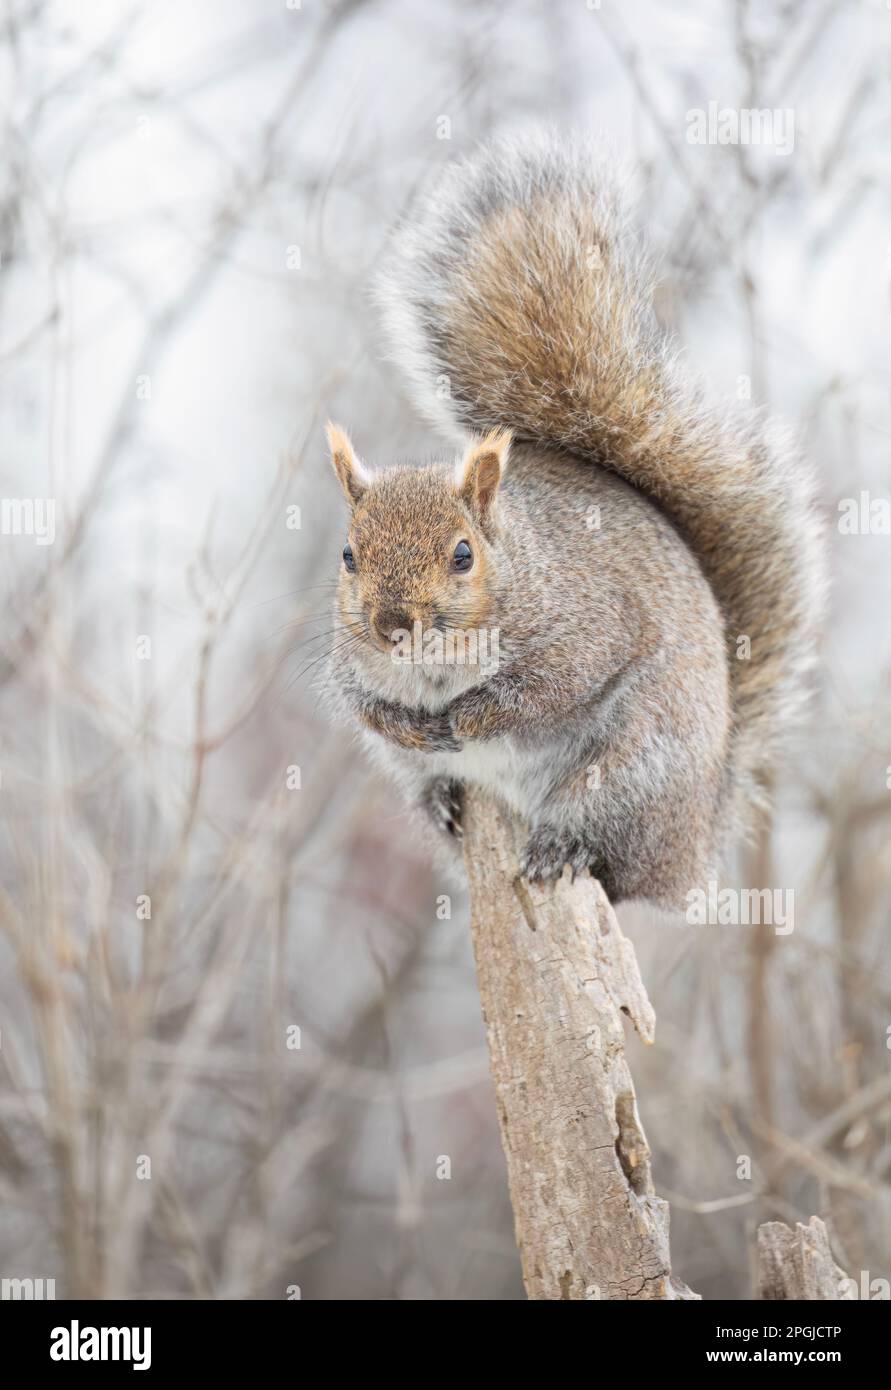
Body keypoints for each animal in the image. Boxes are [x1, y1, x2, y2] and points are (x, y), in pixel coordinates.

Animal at [324, 131, 823, 907]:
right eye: (348, 556)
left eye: (463, 554)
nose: (391, 625)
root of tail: (694, 845)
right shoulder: (351, 658)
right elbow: (361, 705)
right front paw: (408, 725)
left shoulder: (584, 628)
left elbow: (549, 688)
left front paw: (469, 717)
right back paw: (441, 798)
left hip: (637, 762)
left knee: (611, 855)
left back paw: (562, 844)